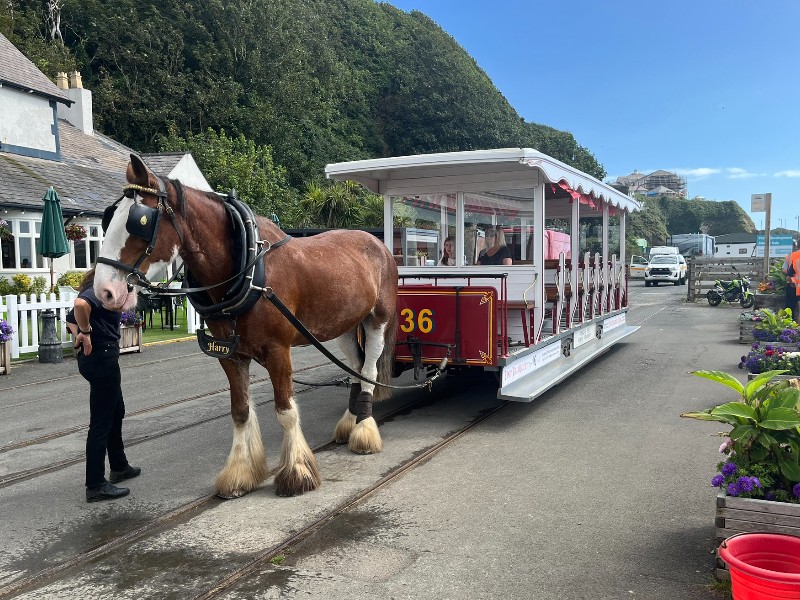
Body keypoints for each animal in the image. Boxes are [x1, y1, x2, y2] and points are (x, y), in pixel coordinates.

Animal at [93, 154, 398, 498]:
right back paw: (350, 422)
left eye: (140, 222)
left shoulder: (279, 352)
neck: (249, 268)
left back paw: (364, 431)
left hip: (377, 320)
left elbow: (285, 411)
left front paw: (296, 472)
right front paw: (240, 474)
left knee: (369, 369)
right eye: (109, 218)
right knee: (356, 367)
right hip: (345, 325)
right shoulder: (231, 355)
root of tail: (377, 243)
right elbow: (240, 411)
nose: (104, 291)